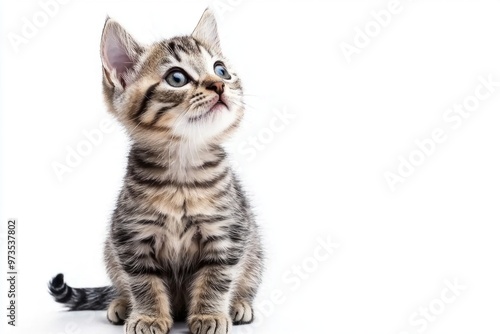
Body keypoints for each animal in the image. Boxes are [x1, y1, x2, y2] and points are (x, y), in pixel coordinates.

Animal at [48, 8, 264, 334]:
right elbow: (143, 282)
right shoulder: (131, 237)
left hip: (256, 250)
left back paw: (239, 304)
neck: (182, 172)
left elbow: (216, 278)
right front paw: (148, 316)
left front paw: (209, 315)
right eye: (177, 77)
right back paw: (121, 304)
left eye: (221, 70)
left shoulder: (227, 233)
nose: (219, 85)